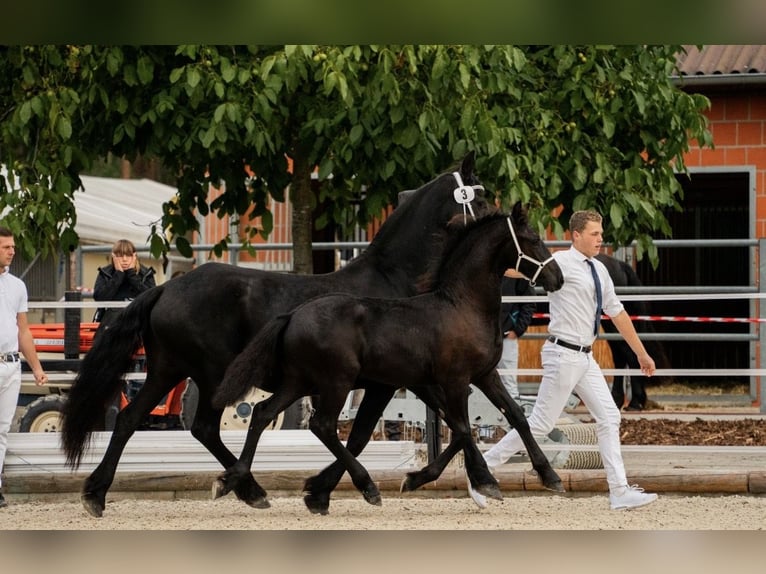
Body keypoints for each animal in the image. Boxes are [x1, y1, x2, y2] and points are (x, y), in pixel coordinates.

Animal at [211, 207, 565, 510]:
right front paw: (480, 481)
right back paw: (364, 487)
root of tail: (292, 315)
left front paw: (550, 477)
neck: (463, 307)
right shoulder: (454, 380)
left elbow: (515, 417)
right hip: (336, 382)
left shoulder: (485, 375)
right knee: (322, 425)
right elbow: (463, 428)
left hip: (299, 382)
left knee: (262, 413)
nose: (557, 278)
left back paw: (241, 482)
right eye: (534, 239)